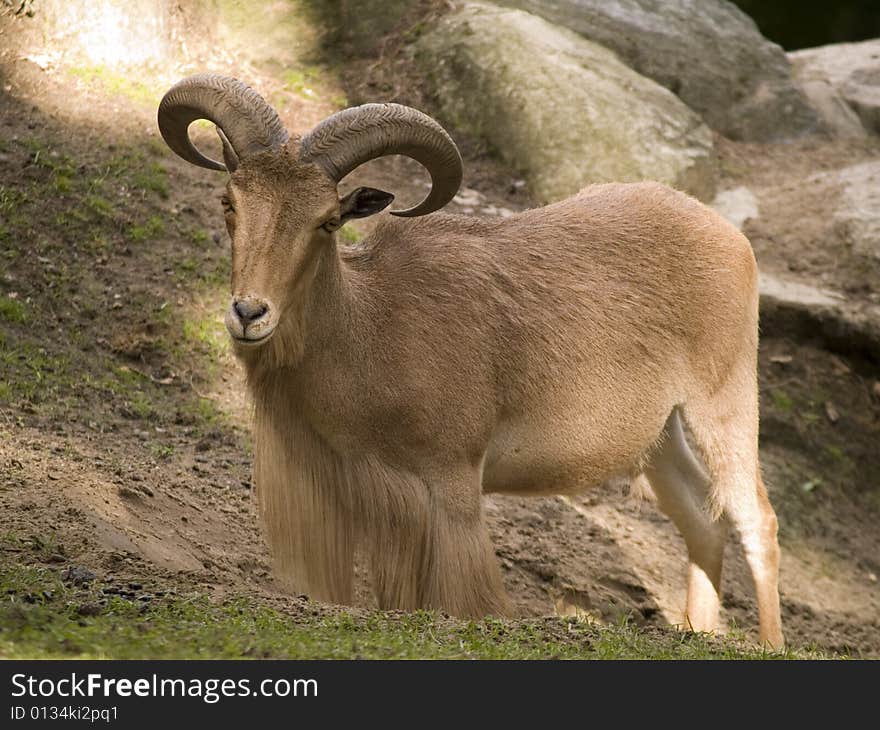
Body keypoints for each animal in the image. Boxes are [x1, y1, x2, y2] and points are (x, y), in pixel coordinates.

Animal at [158, 72, 784, 644]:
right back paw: (698, 633)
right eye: (230, 203)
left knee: (757, 520)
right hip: (660, 435)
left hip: (723, 403)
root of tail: (729, 236)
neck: (371, 327)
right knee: (703, 519)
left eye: (328, 220)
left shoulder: (451, 482)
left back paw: (770, 644)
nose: (248, 313)